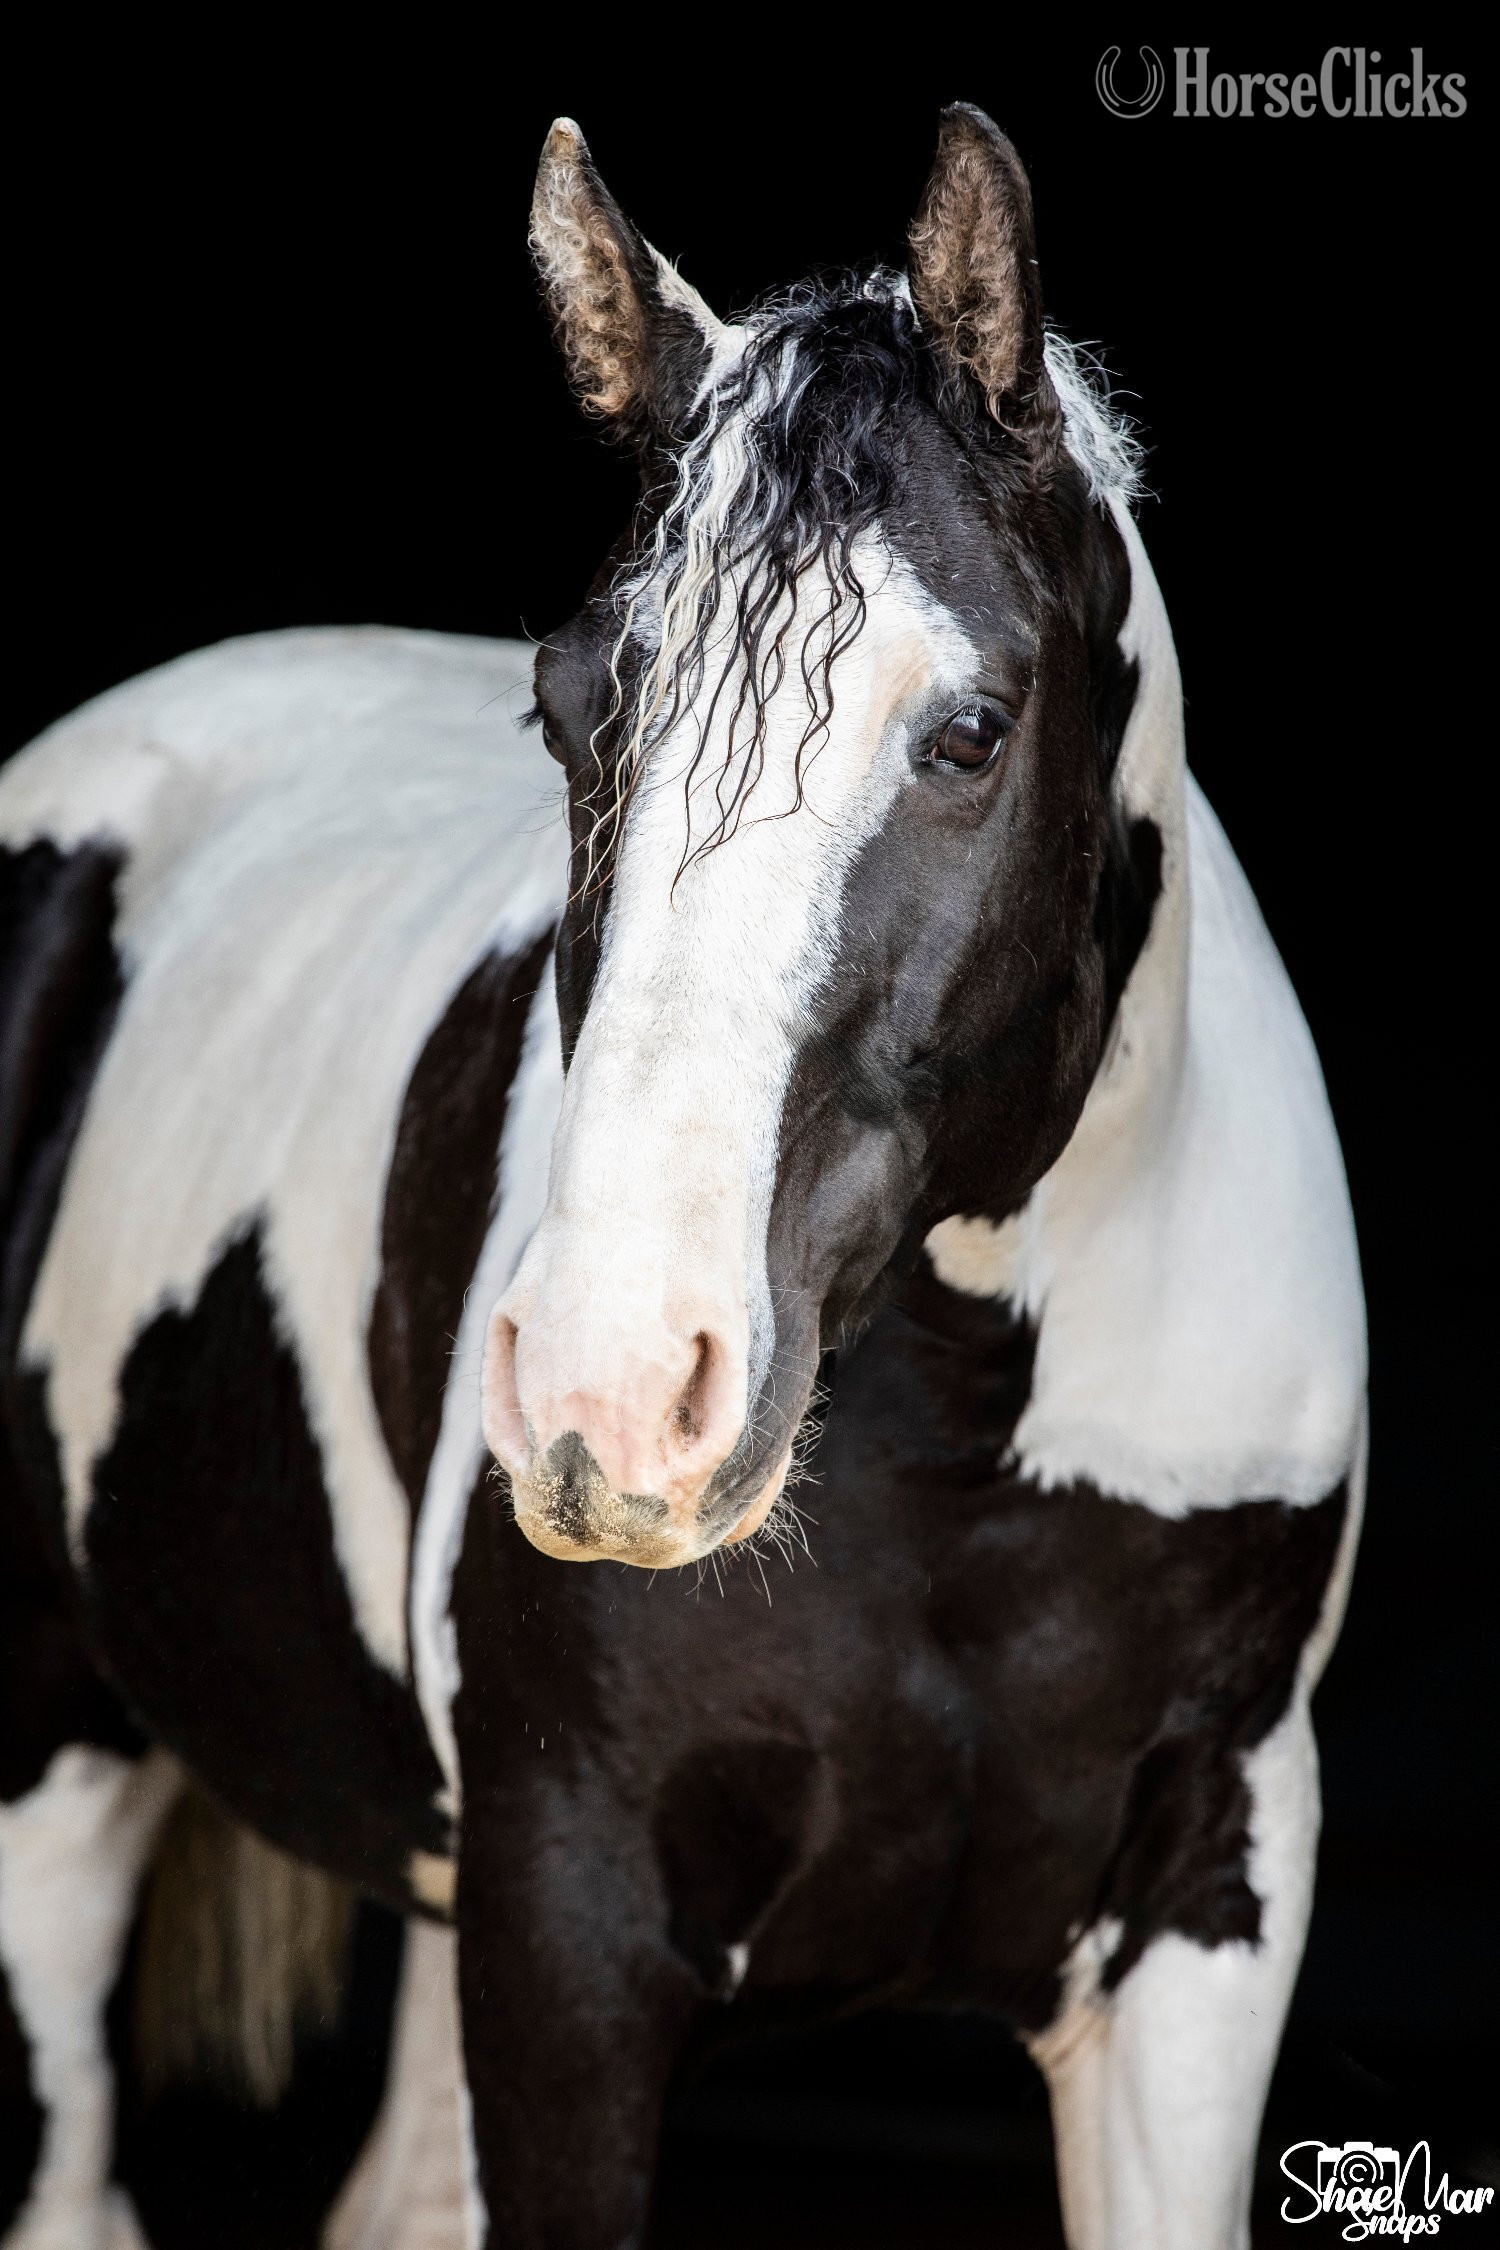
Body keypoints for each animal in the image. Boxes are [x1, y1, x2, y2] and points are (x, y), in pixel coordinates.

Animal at [0, 104, 1366, 2250]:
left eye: (971, 731)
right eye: (569, 707)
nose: (608, 1396)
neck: (967, 1457)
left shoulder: (1207, 1923)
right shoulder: (571, 1930)